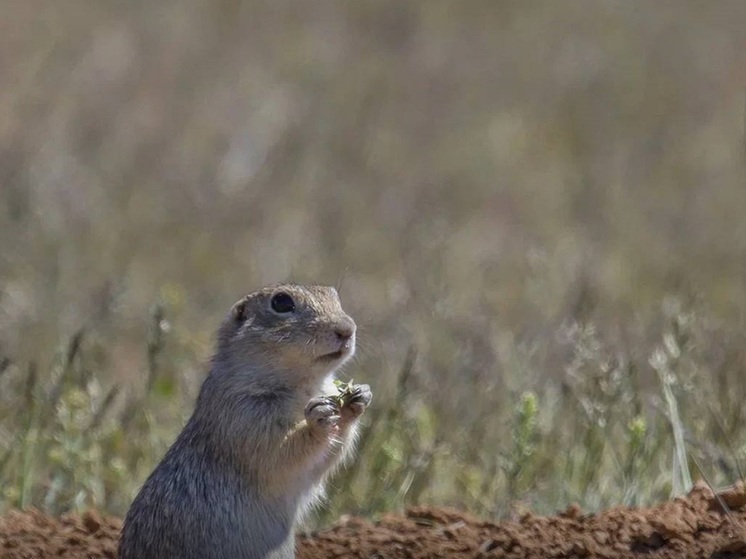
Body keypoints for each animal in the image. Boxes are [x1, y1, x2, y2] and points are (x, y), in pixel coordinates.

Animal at [117, 284, 370, 559]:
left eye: (335, 295)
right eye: (282, 302)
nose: (347, 329)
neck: (304, 387)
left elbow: (321, 463)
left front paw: (357, 398)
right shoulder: (243, 415)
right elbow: (277, 453)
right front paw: (318, 417)